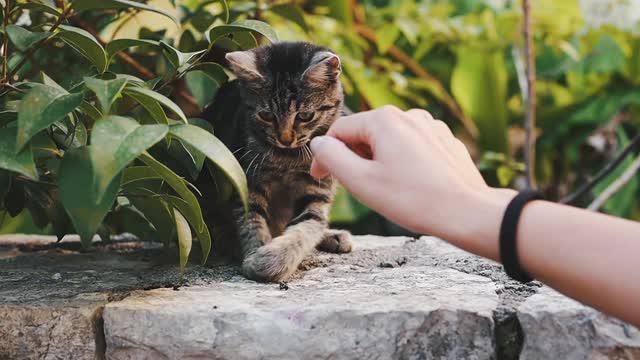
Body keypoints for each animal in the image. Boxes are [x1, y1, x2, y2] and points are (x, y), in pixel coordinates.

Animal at [200, 42, 352, 282]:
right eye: (266, 116)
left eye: (305, 116)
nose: (285, 139)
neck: (287, 159)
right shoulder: (247, 184)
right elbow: (252, 222)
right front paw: (255, 256)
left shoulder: (317, 191)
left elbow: (308, 225)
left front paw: (274, 260)